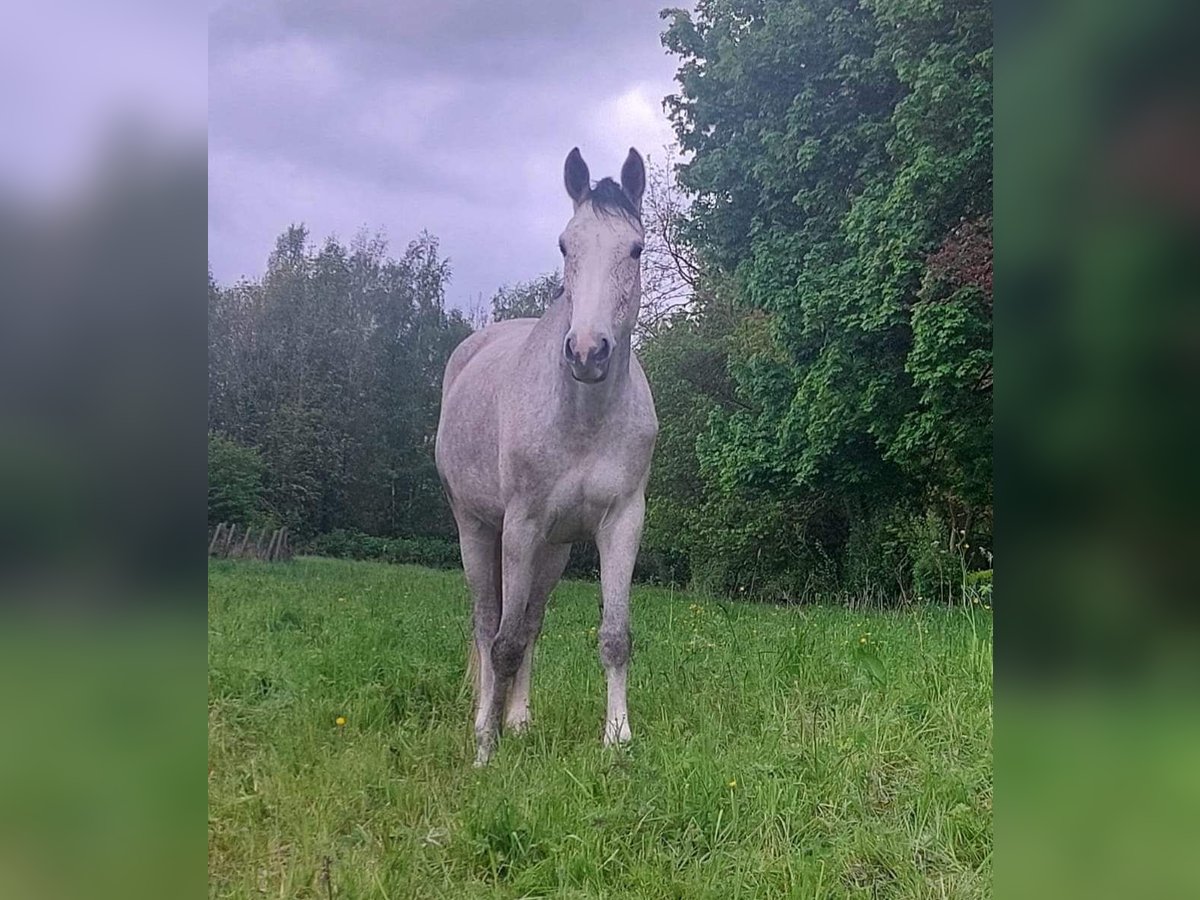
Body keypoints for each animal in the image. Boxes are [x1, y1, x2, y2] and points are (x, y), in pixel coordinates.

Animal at [434, 148, 657, 768]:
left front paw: (617, 738)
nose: (587, 352)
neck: (582, 417)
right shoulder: (521, 525)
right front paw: (485, 750)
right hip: (477, 529)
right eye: (565, 245)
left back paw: (520, 721)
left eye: (635, 248)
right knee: (488, 624)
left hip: (555, 548)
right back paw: (487, 719)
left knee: (531, 621)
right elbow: (503, 642)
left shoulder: (621, 522)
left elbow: (614, 635)